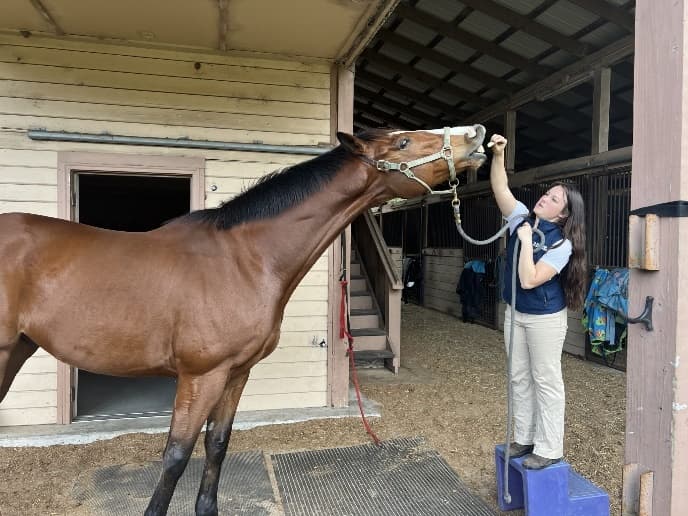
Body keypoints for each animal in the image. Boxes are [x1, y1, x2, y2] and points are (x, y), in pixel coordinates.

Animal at [0, 124, 486, 515]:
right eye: (403, 143)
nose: (477, 135)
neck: (244, 259)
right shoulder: (201, 376)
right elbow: (176, 455)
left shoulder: (235, 374)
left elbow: (217, 445)